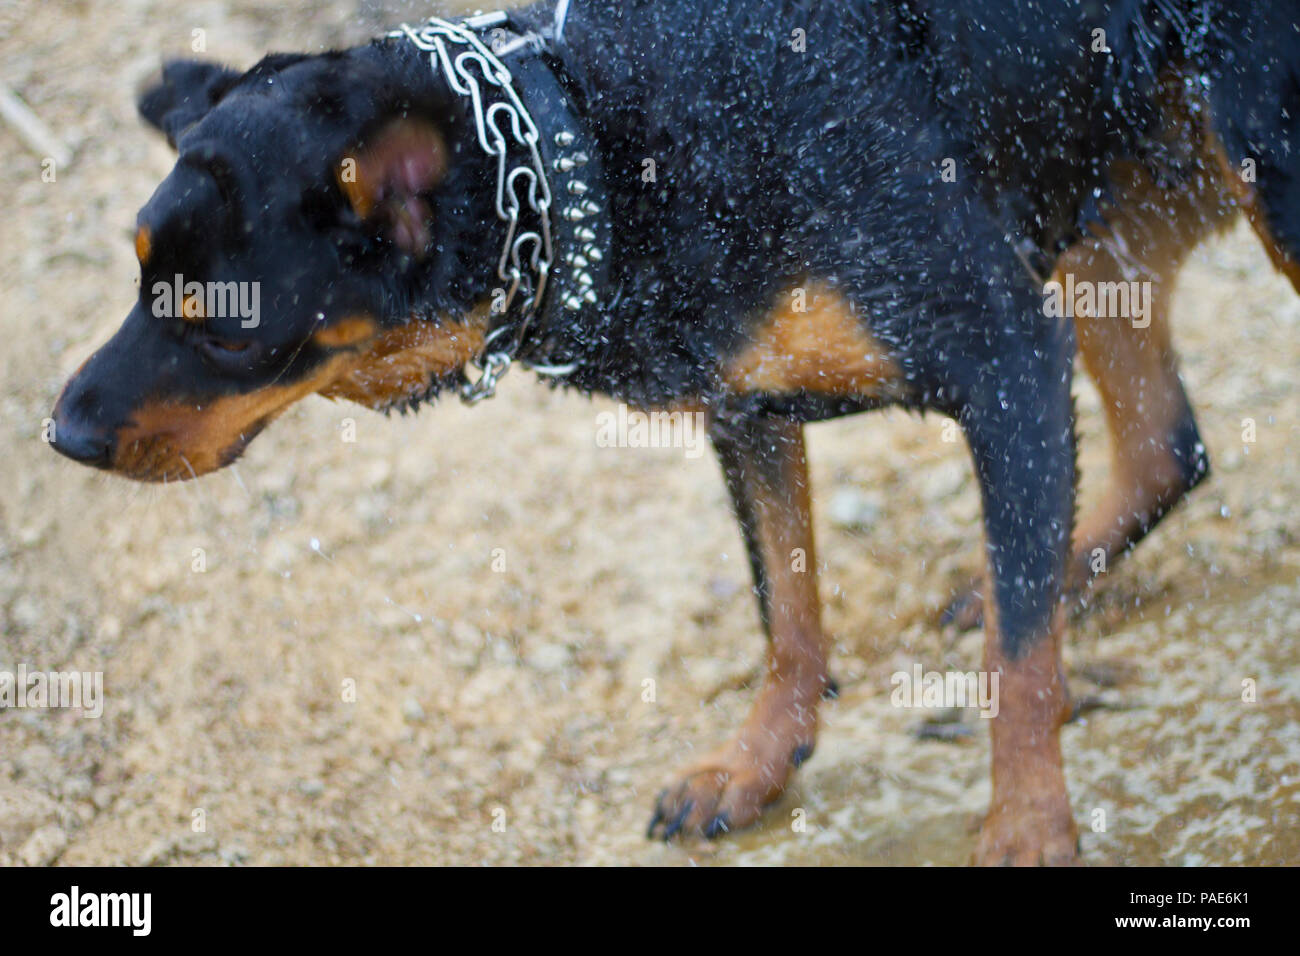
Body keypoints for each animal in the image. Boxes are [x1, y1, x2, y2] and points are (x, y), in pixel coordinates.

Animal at [45, 1, 1294, 868]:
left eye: (225, 328)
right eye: (138, 270)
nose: (59, 430)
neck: (597, 141)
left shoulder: (1006, 361)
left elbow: (1020, 666)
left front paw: (1028, 817)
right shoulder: (748, 410)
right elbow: (785, 614)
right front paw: (754, 762)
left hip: (1260, 173)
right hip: (1103, 221)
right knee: (1163, 448)